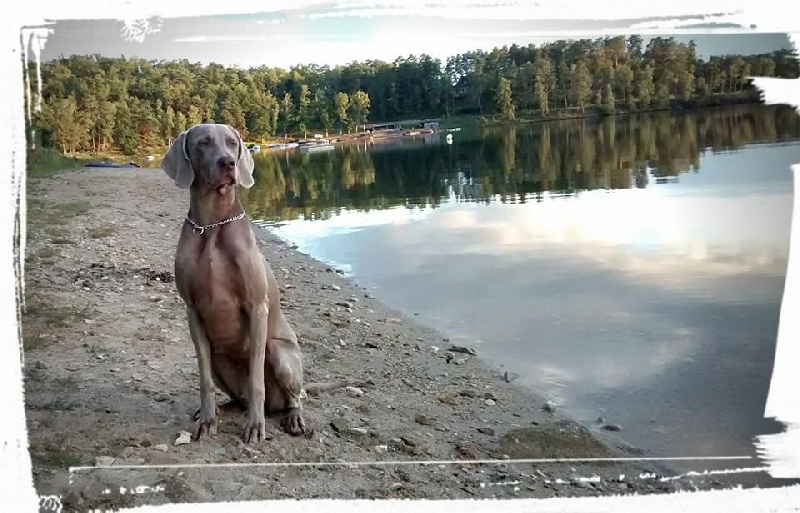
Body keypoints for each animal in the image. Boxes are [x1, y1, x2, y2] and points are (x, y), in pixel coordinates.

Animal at [161, 123, 306, 442]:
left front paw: (254, 426)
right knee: (237, 397)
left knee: (293, 397)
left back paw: (292, 418)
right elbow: (203, 379)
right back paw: (218, 410)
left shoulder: (257, 307)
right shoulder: (192, 310)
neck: (212, 225)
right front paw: (207, 420)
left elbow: (256, 380)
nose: (227, 163)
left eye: (231, 143)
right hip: (219, 360)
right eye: (203, 143)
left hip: (281, 353)